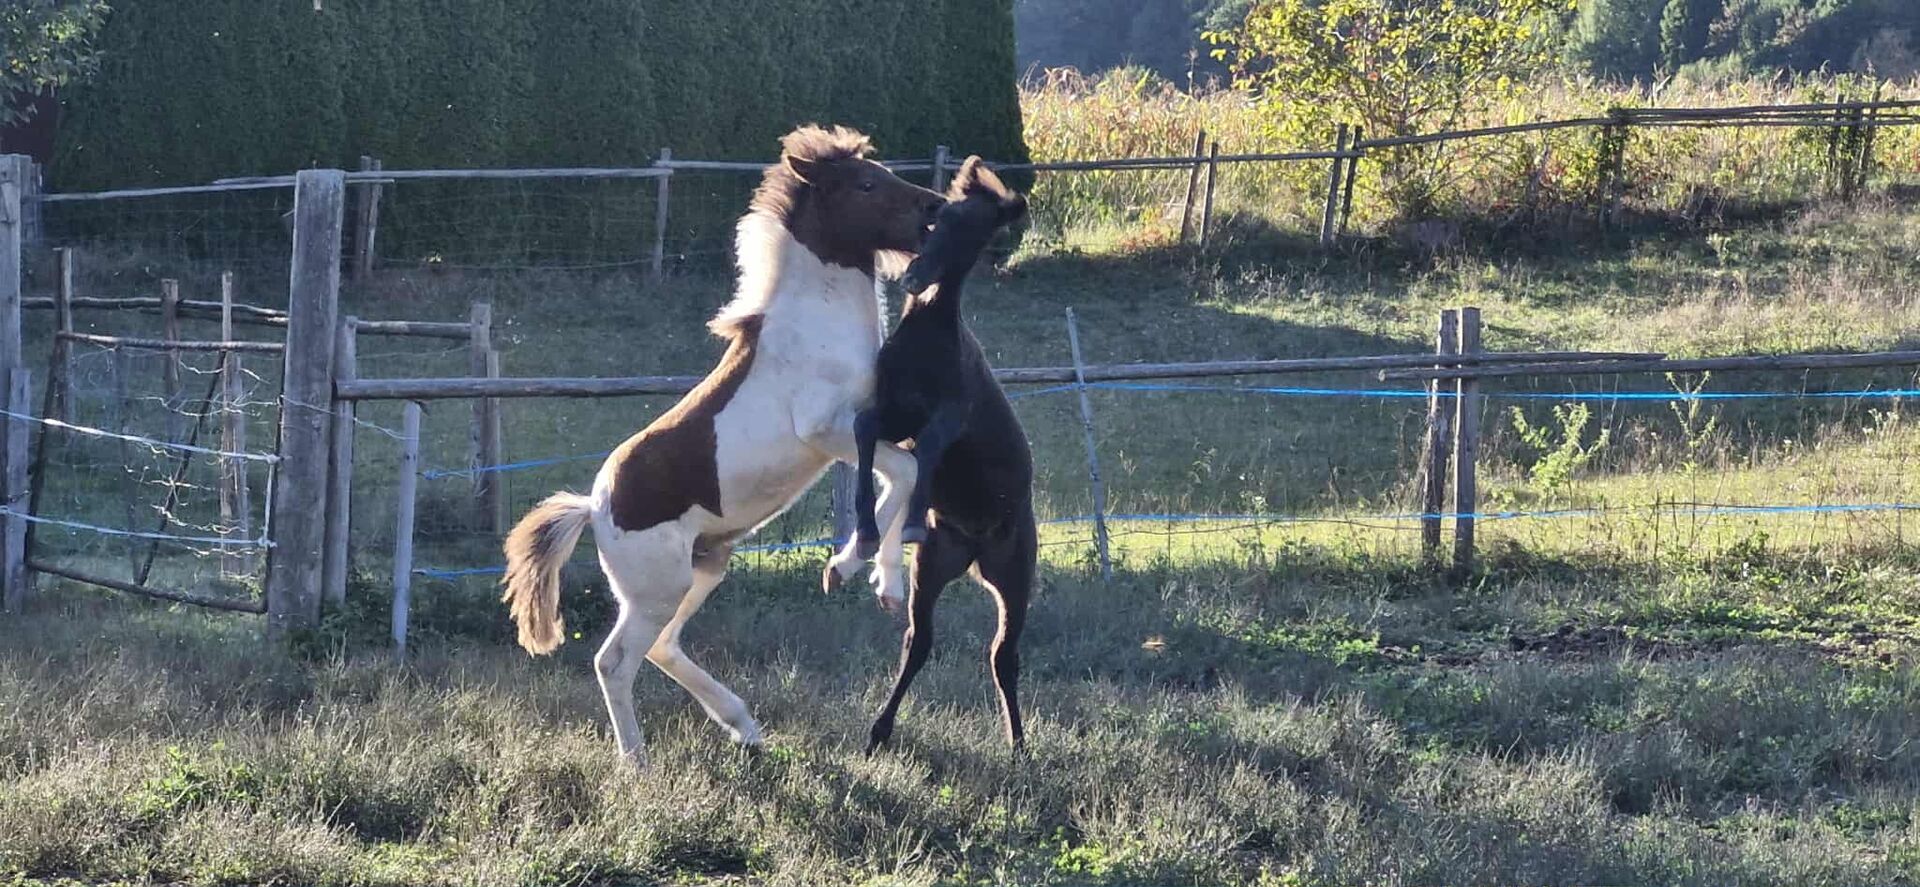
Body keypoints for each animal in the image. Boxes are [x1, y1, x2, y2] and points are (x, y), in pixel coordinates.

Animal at [501, 125, 944, 765]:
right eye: (866, 183)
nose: (935, 208)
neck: (815, 325)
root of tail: (595, 507)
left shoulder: (869, 427)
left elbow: (899, 480)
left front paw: (883, 584)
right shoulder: (827, 430)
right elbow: (902, 475)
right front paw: (846, 565)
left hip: (703, 569)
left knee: (661, 647)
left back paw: (743, 724)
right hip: (659, 586)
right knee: (616, 660)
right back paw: (637, 763)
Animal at [859, 159, 1038, 753]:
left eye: (973, 236)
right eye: (940, 222)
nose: (914, 280)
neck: (928, 338)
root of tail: (974, 552)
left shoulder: (948, 419)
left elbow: (932, 451)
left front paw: (909, 519)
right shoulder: (891, 416)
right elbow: (864, 430)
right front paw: (867, 526)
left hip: (1015, 576)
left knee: (1004, 655)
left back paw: (1018, 745)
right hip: (932, 569)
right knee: (919, 642)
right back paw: (878, 732)